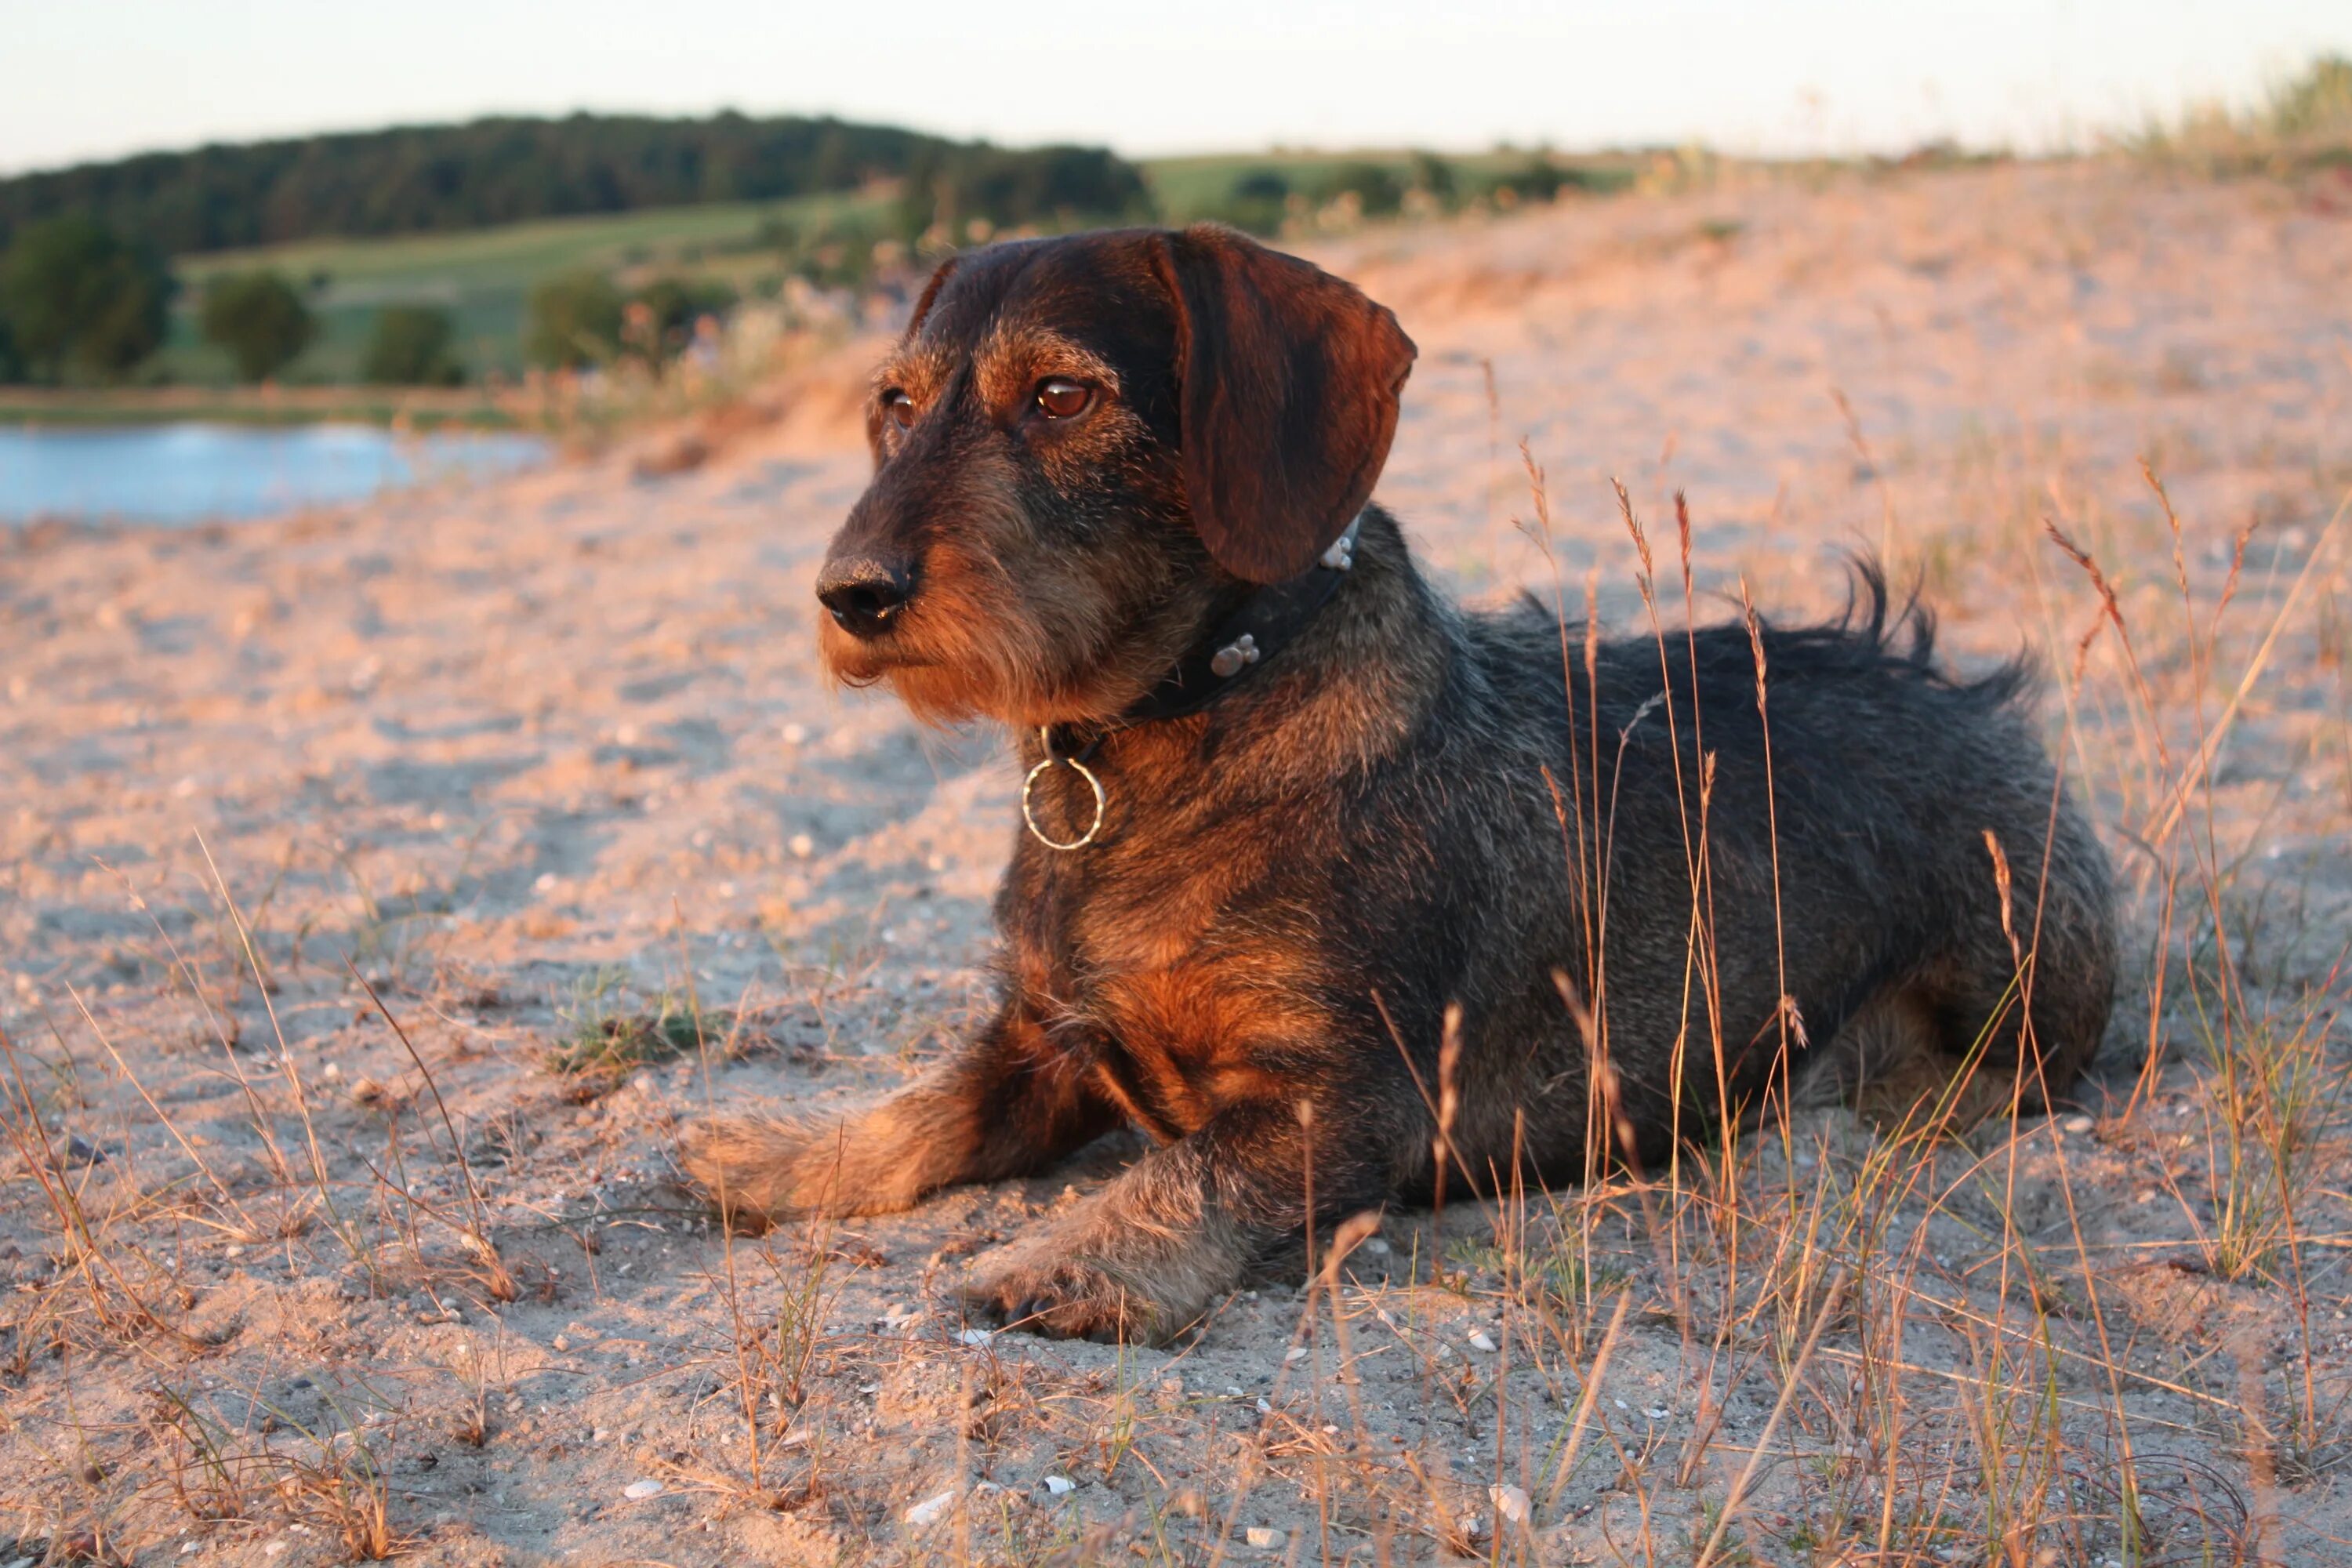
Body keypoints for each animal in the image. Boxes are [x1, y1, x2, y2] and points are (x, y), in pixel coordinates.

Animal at [677, 223, 2117, 1354]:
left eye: (1063, 396)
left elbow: (1183, 1176)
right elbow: (931, 1109)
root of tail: (1980, 705)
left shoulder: (1345, 1103)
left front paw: (1063, 1259)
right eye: (895, 402)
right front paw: (777, 1150)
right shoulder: (1044, 1036)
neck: (1187, 721)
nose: (850, 595)